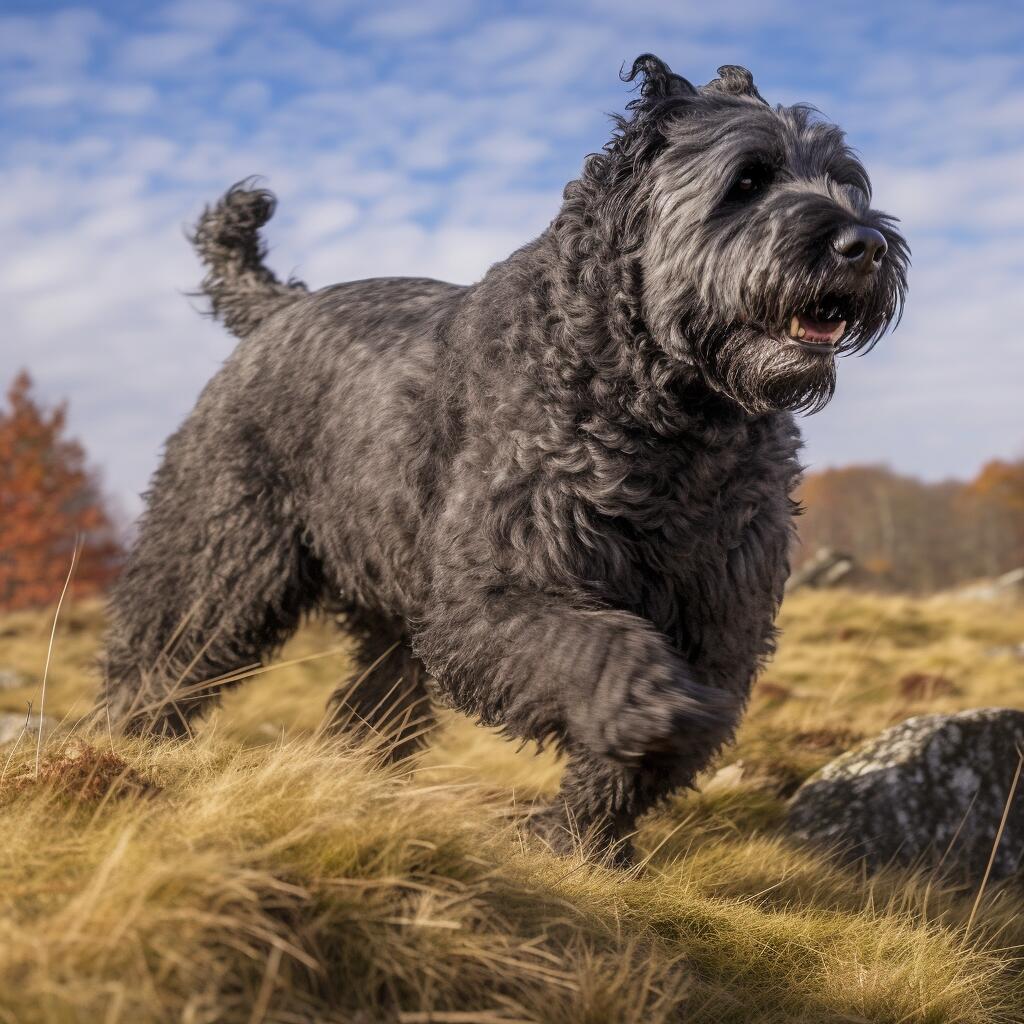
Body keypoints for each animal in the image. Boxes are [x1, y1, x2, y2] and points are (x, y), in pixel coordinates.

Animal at [99, 54, 909, 856]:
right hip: (222, 559)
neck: (666, 411)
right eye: (748, 178)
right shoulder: (499, 590)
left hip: (387, 604)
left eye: (847, 180)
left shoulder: (721, 613)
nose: (864, 245)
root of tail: (278, 308)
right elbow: (609, 653)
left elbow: (641, 755)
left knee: (373, 704)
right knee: (157, 658)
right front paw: (655, 710)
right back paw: (123, 750)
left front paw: (576, 842)